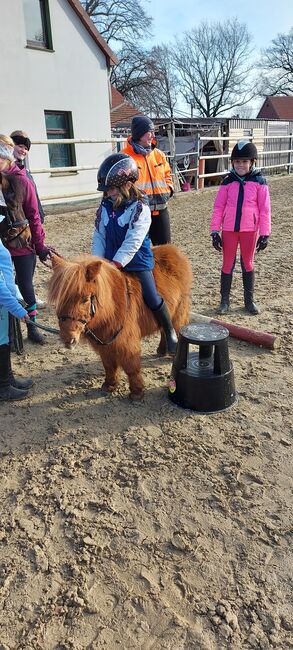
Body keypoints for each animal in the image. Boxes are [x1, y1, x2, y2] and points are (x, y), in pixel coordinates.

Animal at [48, 243, 192, 394]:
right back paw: (161, 350)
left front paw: (136, 392)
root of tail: (172, 249)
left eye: (85, 299)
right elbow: (109, 365)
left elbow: (131, 366)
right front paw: (109, 385)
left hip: (178, 312)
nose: (68, 340)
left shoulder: (126, 342)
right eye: (59, 299)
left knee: (171, 327)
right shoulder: (104, 343)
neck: (112, 308)